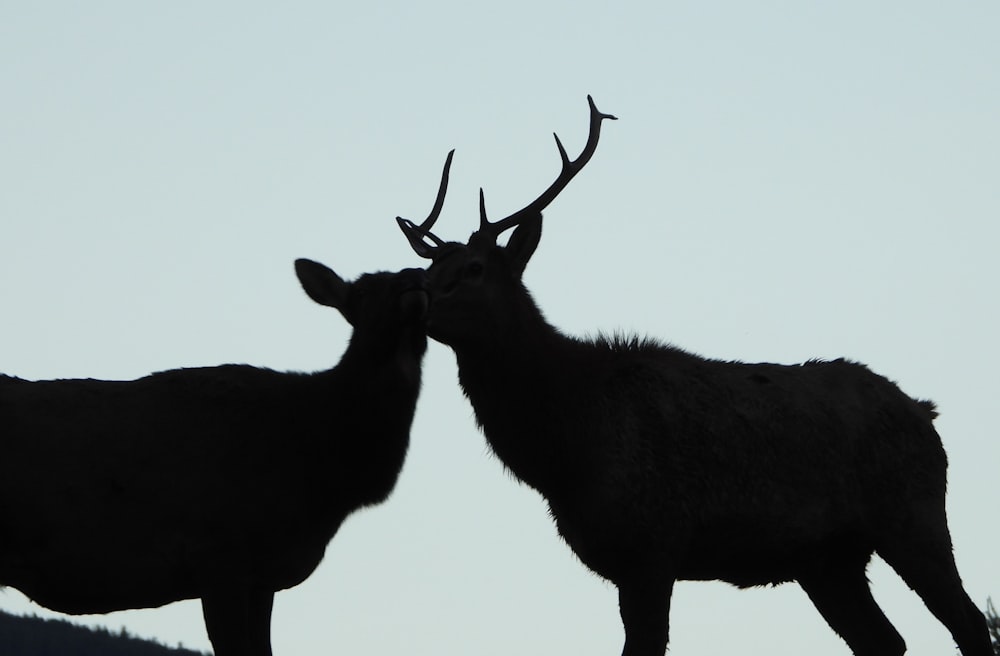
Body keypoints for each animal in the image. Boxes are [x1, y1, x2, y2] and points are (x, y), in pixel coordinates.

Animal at [394, 96, 988, 656]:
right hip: (827, 559)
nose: (412, 301)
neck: (567, 452)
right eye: (429, 268)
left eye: (473, 269)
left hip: (913, 514)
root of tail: (925, 412)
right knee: (885, 640)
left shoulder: (653, 543)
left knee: (969, 620)